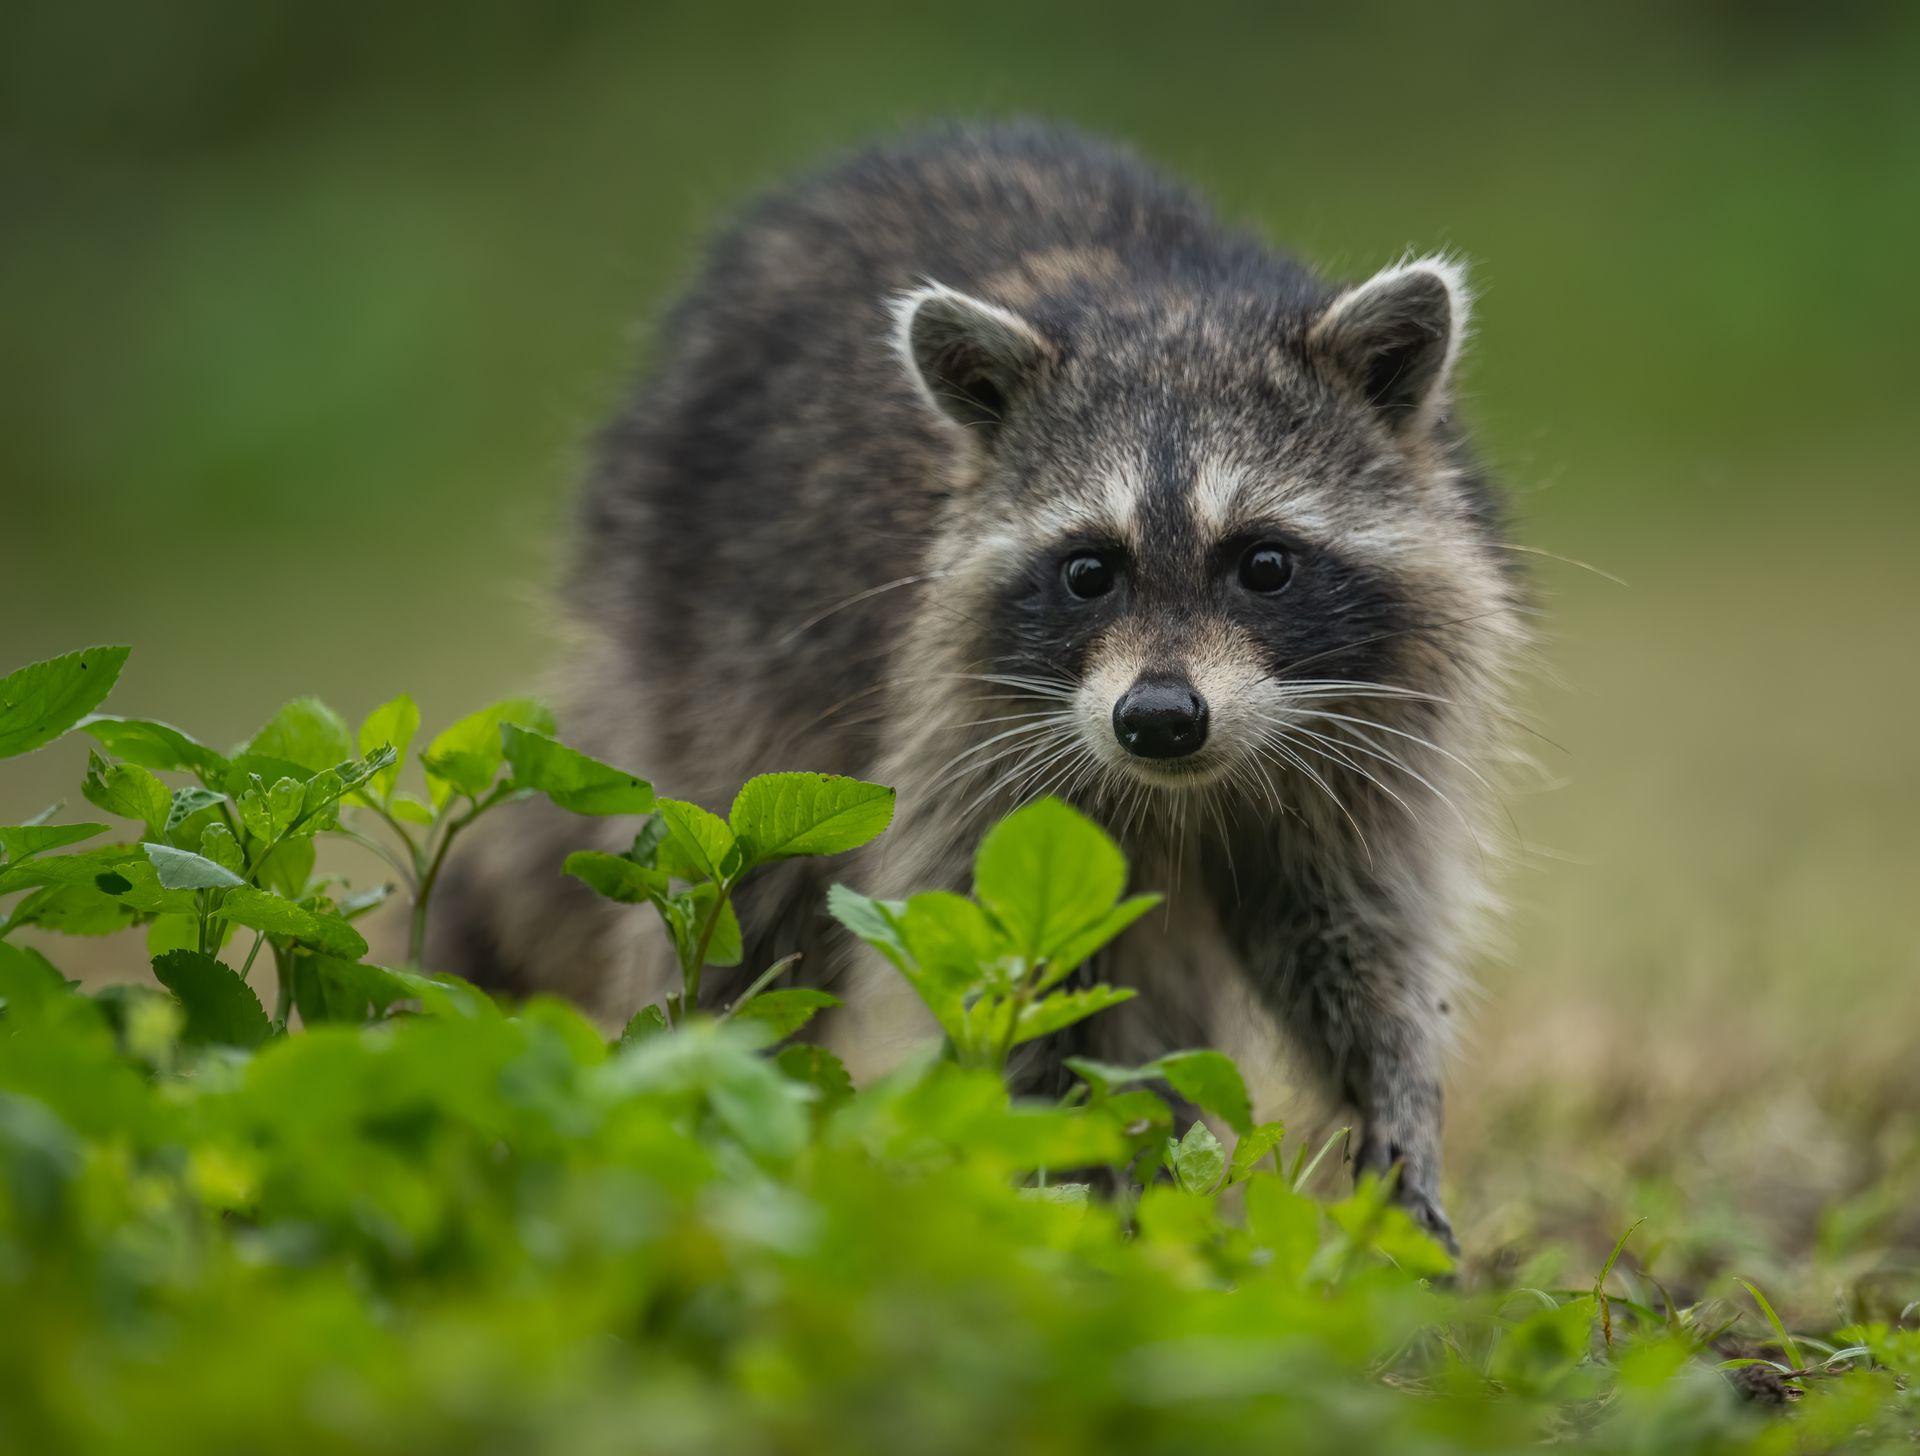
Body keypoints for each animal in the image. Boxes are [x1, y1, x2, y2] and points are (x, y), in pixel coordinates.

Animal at [436, 123, 1525, 1247]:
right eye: (1089, 570)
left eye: (1265, 564)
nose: (1159, 720)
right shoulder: (968, 736)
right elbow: (1027, 978)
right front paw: (1073, 1189)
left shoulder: (1378, 732)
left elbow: (1358, 932)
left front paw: (1396, 1106)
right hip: (705, 635)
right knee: (741, 899)